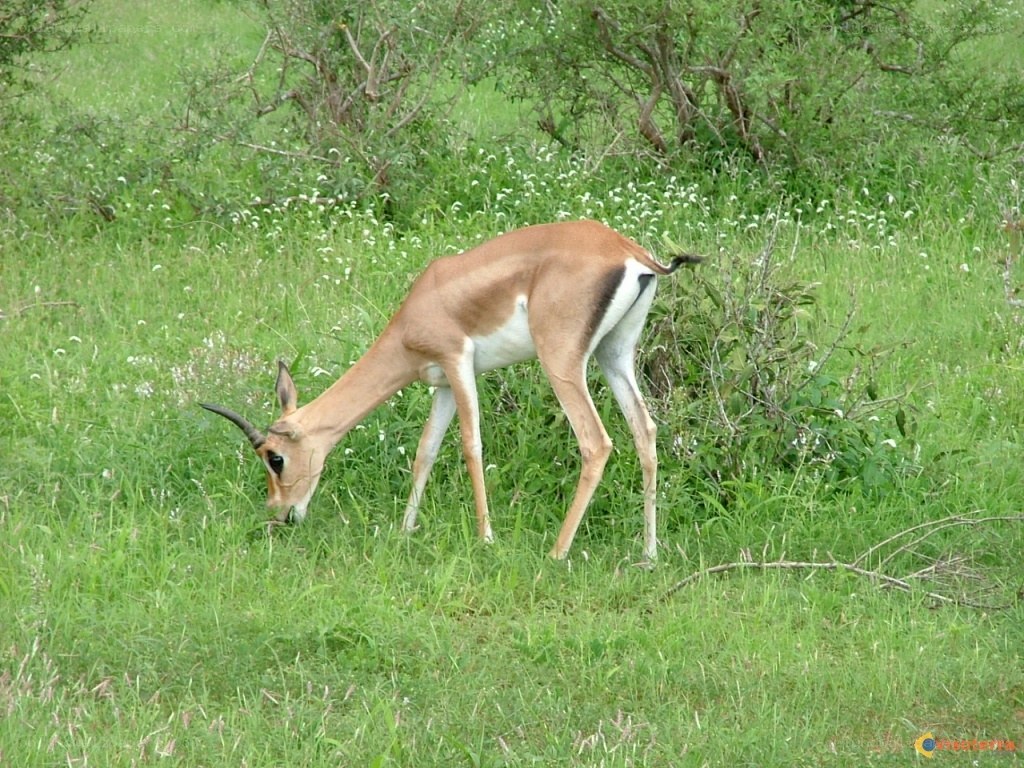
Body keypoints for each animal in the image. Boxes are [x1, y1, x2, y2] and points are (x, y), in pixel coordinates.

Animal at [201, 220, 700, 561]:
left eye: (275, 458)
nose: (281, 514)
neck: (419, 309)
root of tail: (630, 253)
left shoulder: (459, 363)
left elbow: (470, 445)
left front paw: (486, 539)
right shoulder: (440, 383)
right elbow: (425, 451)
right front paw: (405, 530)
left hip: (561, 362)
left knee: (596, 442)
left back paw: (557, 552)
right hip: (614, 355)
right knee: (645, 431)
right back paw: (649, 553)